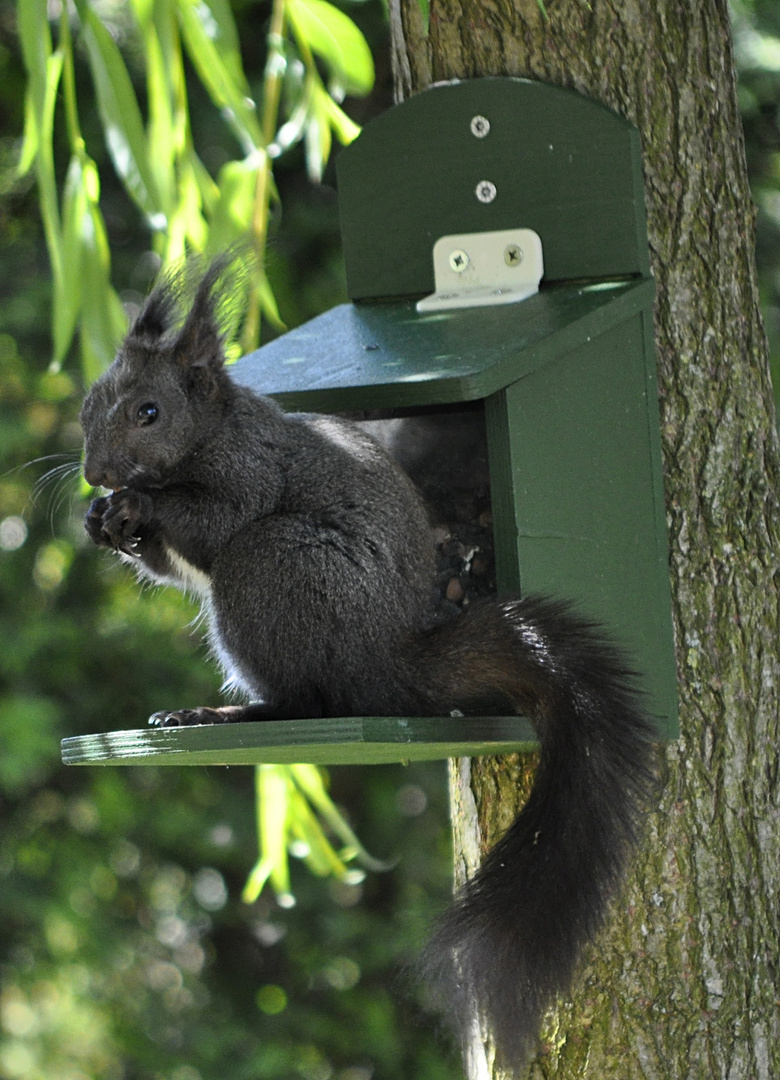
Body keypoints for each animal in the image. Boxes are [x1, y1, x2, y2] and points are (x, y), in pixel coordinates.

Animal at [78, 259, 652, 1071]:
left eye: (150, 412)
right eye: (89, 407)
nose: (96, 474)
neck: (215, 430)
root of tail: (391, 662)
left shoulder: (250, 474)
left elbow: (212, 521)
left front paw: (138, 508)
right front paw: (103, 522)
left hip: (274, 568)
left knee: (309, 698)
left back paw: (228, 710)